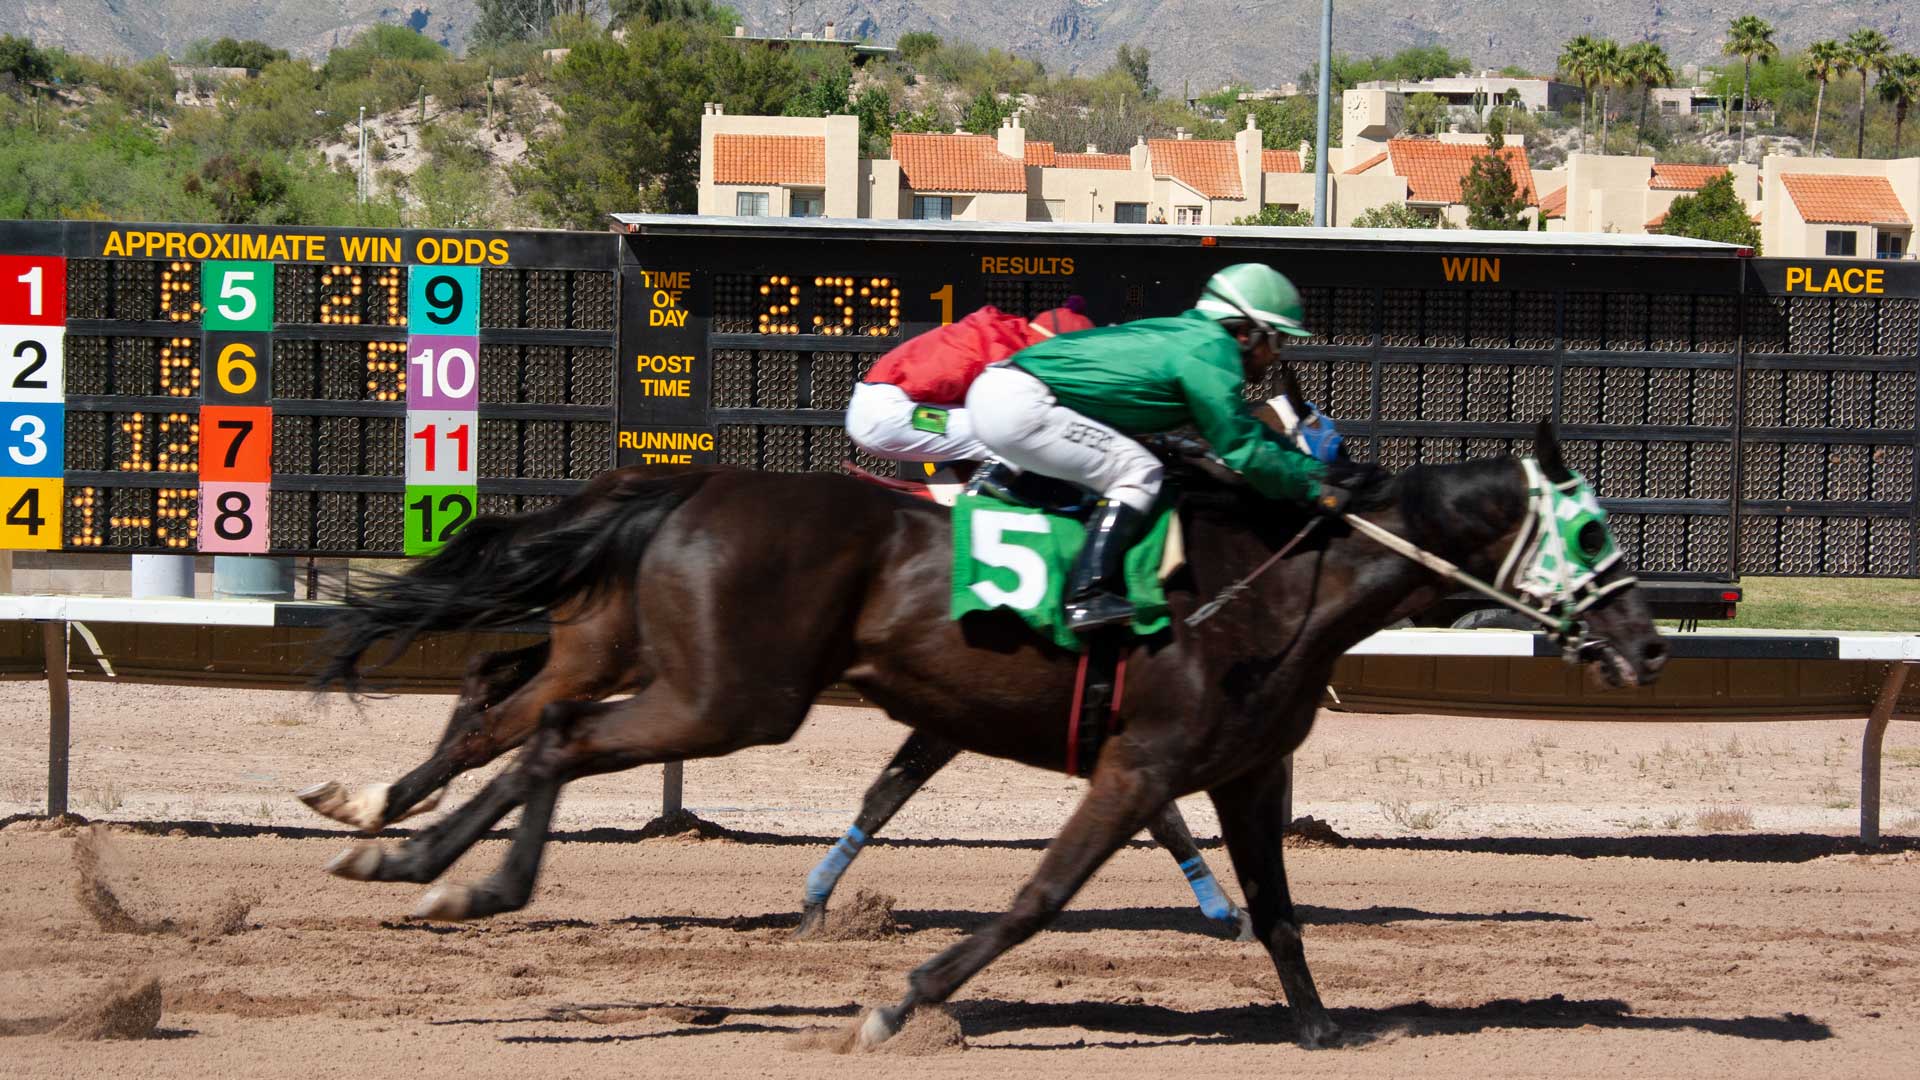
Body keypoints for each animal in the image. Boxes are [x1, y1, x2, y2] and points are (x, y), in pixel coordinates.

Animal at [307, 424, 1658, 1045]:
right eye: (1591, 535)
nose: (1648, 646)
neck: (1274, 584)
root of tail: (688, 486)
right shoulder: (1140, 764)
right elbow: (1037, 898)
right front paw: (903, 1000)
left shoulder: (1243, 774)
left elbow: (1278, 911)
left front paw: (1322, 1028)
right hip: (732, 696)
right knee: (549, 733)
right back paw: (442, 871)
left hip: (671, 668)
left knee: (521, 709)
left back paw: (404, 848)